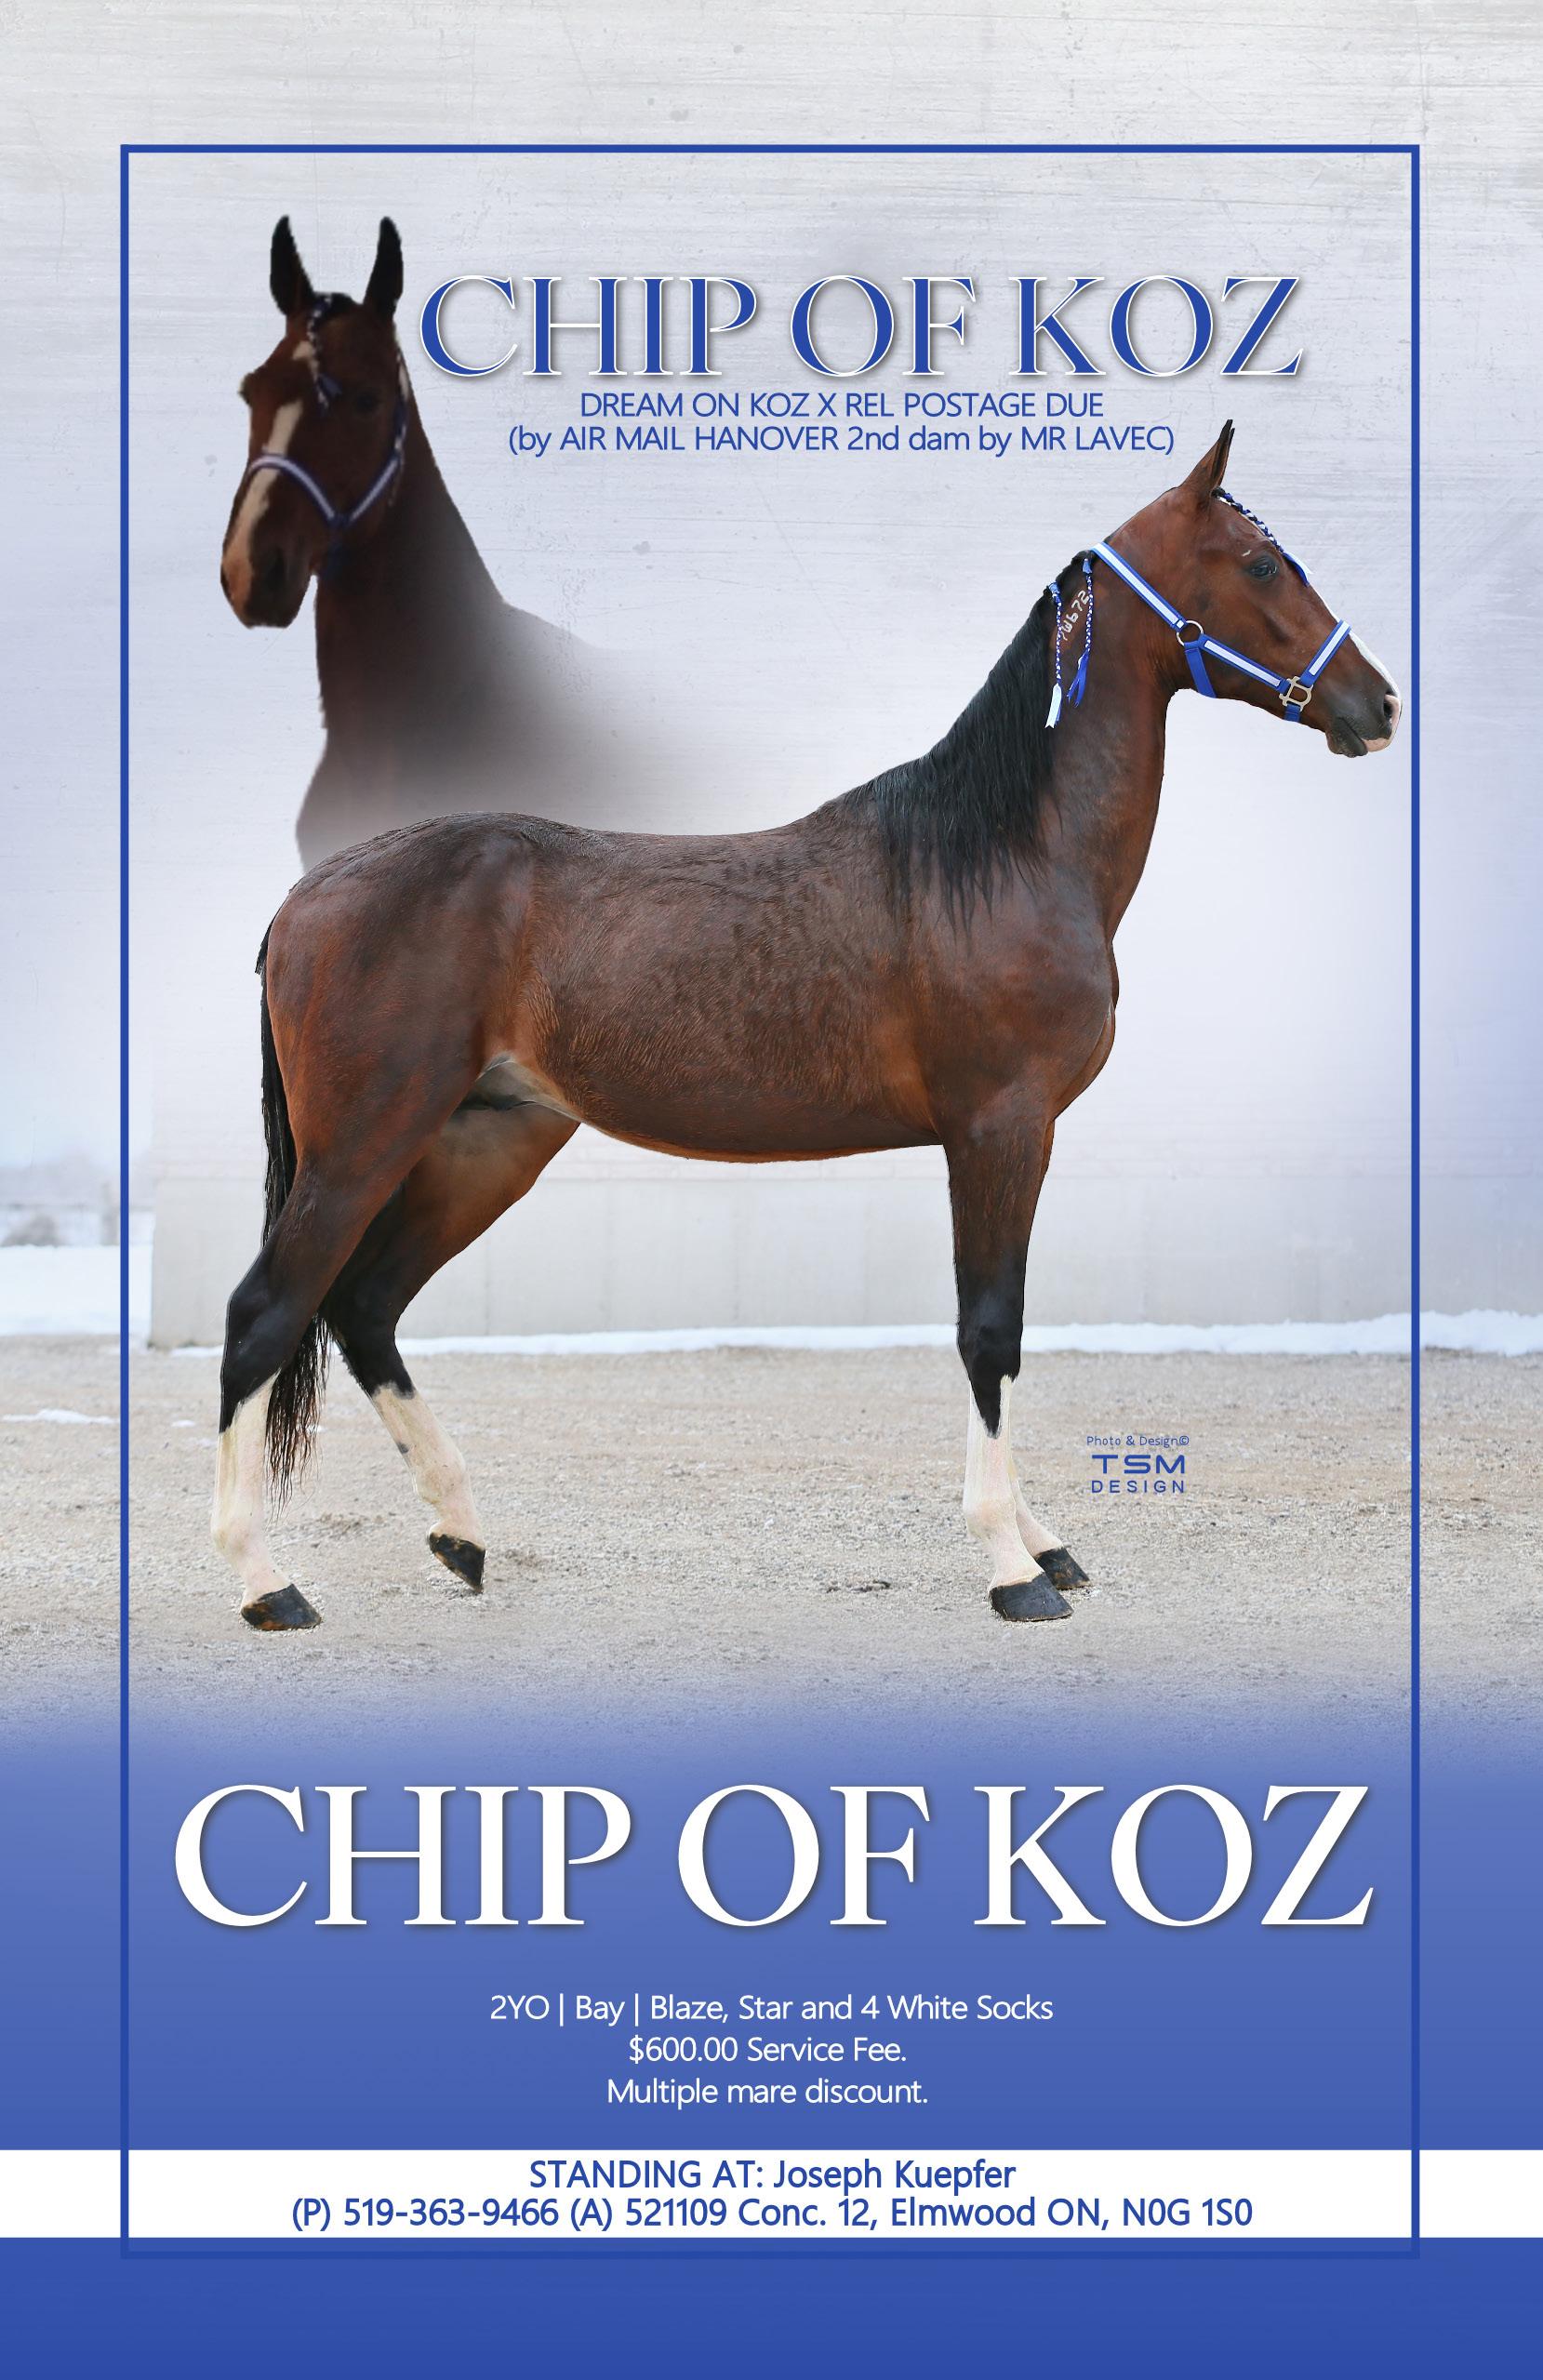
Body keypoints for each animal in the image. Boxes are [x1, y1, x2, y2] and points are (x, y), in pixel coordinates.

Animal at [210, 420, 1399, 1634]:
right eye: (1262, 565)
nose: (1378, 705)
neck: (1000, 856)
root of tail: (304, 898)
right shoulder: (999, 1129)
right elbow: (990, 1329)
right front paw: (1011, 1566)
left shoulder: (1016, 1138)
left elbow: (1004, 1332)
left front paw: (1046, 1544)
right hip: (365, 1146)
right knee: (267, 1312)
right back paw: (266, 1582)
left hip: (485, 1142)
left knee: (364, 1309)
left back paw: (461, 1535)